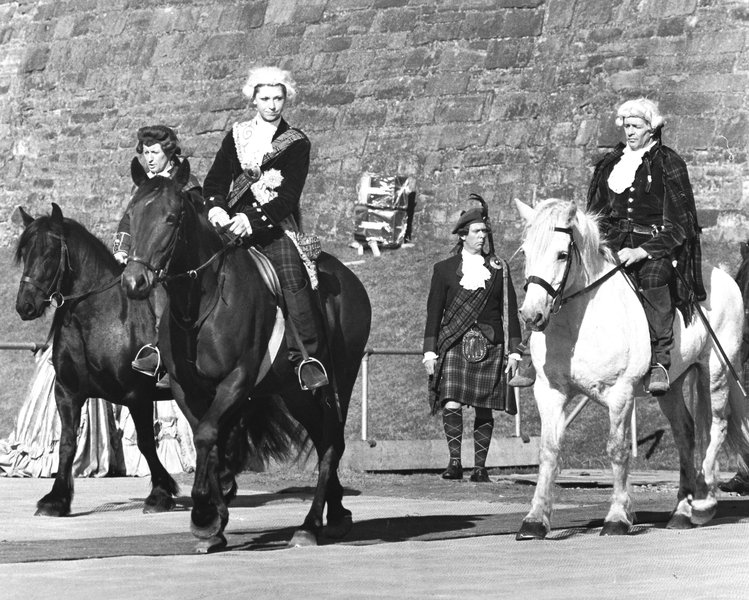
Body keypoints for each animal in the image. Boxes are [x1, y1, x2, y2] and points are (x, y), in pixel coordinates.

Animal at [15, 205, 179, 516]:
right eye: (24, 253)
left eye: (50, 253)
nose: (25, 306)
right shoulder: (67, 394)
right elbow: (67, 443)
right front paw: (56, 499)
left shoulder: (137, 395)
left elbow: (146, 443)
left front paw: (161, 493)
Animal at [120, 161, 374, 552]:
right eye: (131, 214)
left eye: (172, 217)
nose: (135, 282)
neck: (202, 302)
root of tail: (351, 280)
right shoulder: (186, 388)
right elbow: (210, 443)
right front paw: (216, 522)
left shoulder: (237, 381)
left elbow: (207, 436)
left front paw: (204, 515)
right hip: (295, 391)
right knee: (322, 439)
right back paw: (336, 515)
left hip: (339, 383)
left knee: (333, 441)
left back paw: (310, 525)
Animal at [516, 197, 748, 540]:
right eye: (525, 252)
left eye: (561, 254)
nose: (531, 315)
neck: (579, 322)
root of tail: (721, 275)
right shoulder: (549, 391)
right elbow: (548, 449)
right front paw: (535, 519)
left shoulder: (620, 393)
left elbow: (617, 449)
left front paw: (617, 517)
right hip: (671, 386)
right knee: (685, 432)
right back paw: (681, 510)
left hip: (716, 370)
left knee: (716, 425)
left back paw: (703, 502)